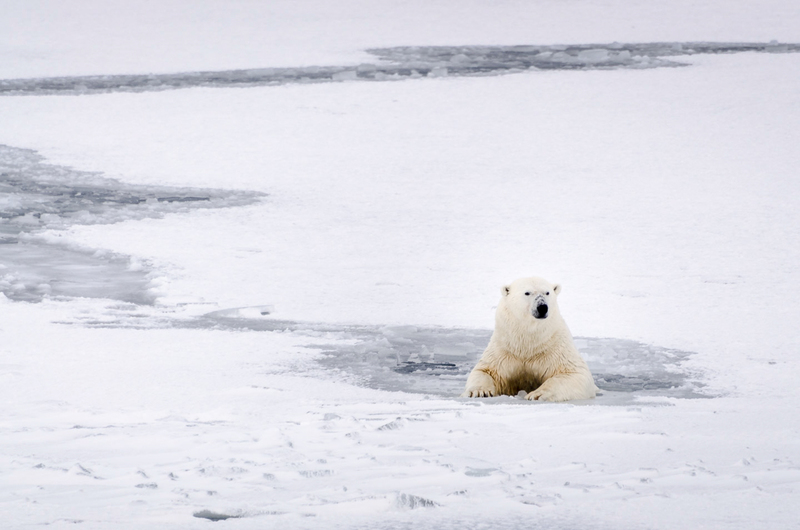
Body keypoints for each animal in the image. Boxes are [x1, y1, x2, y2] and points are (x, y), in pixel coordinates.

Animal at [460, 276, 596, 400]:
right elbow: (485, 371)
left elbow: (574, 373)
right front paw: (479, 391)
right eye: (527, 292)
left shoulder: (555, 348)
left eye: (547, 292)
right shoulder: (503, 349)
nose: (542, 307)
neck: (528, 343)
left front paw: (537, 394)